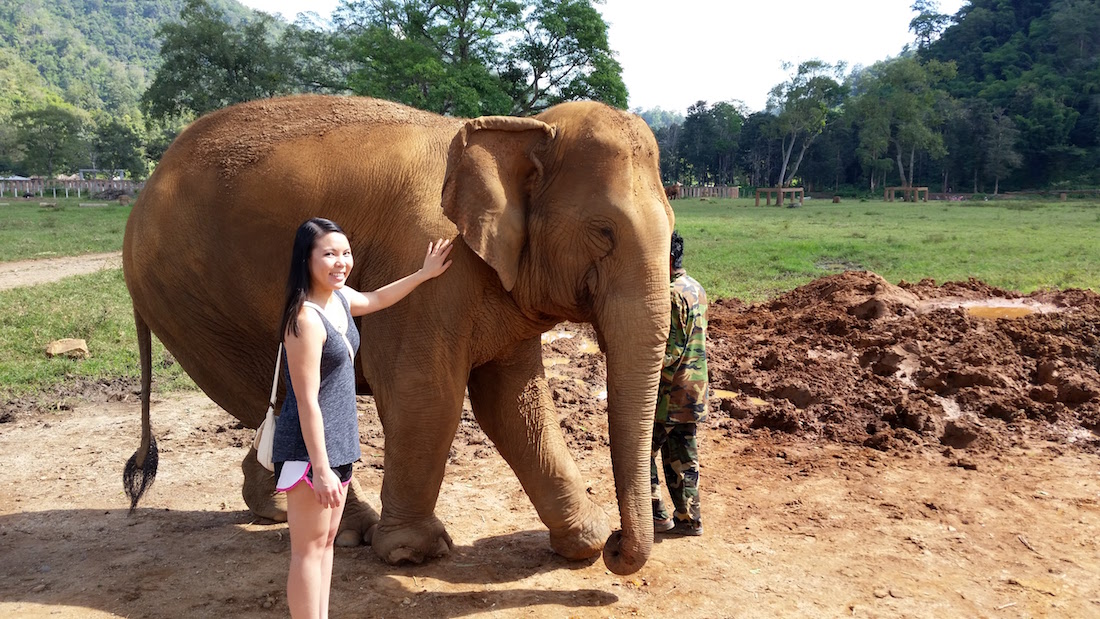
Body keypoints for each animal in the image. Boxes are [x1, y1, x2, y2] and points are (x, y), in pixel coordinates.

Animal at [120, 95, 668, 576]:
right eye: (604, 232)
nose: (619, 543)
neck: (519, 127)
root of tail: (144, 189)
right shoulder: (426, 269)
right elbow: (427, 395)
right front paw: (413, 554)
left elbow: (513, 403)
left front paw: (585, 542)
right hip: (192, 301)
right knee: (277, 393)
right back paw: (343, 527)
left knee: (270, 402)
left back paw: (276, 509)